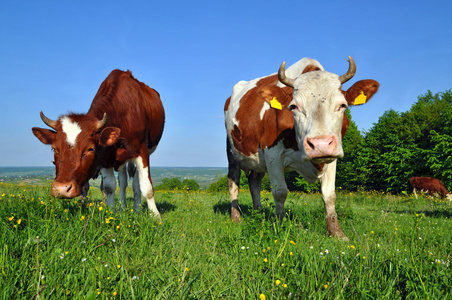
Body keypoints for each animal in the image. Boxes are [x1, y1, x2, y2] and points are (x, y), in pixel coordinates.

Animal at [32, 69, 166, 217]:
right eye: (54, 149)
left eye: (90, 149)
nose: (61, 189)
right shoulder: (105, 157)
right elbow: (109, 187)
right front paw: (112, 212)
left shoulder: (141, 151)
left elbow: (147, 187)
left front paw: (155, 216)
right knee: (123, 181)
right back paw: (123, 207)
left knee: (136, 182)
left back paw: (137, 209)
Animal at [224, 56, 380, 239]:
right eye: (293, 106)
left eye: (342, 105)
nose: (320, 144)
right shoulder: (272, 154)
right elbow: (280, 192)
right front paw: (279, 227)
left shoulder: (332, 155)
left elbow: (329, 194)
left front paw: (337, 233)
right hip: (232, 152)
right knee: (233, 182)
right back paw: (236, 218)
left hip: (257, 159)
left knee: (254, 181)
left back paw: (259, 214)